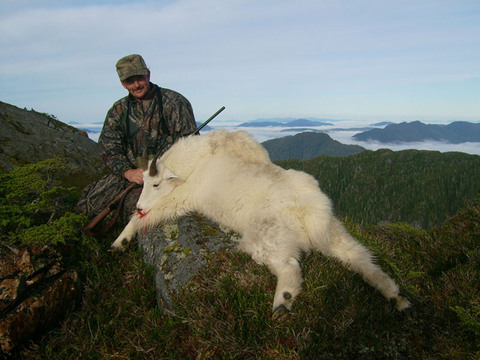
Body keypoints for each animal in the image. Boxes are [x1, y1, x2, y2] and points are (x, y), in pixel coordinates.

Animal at [110, 130, 410, 320]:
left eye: (155, 184)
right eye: (142, 182)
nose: (140, 204)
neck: (197, 161)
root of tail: (309, 211)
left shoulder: (183, 198)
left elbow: (147, 216)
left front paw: (119, 243)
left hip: (266, 236)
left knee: (289, 266)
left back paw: (282, 304)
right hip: (334, 232)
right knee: (359, 259)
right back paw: (397, 298)